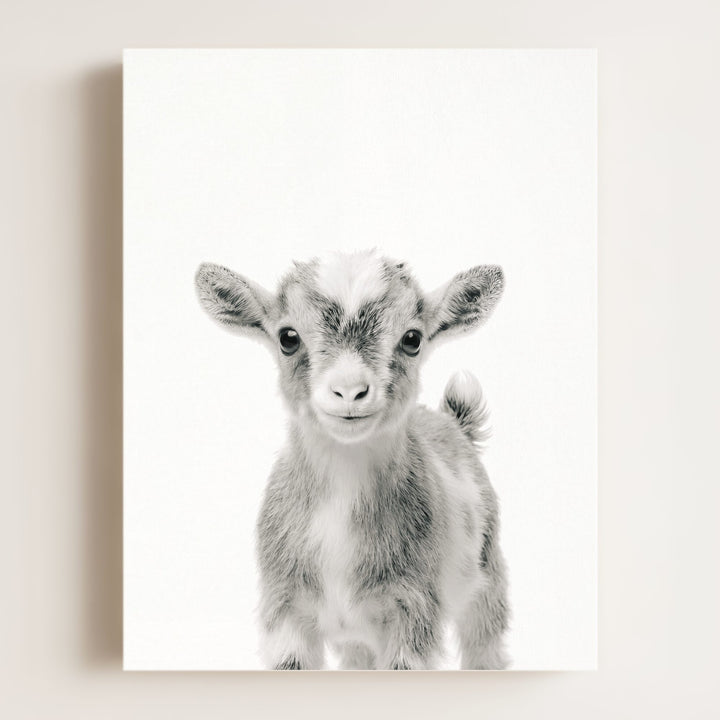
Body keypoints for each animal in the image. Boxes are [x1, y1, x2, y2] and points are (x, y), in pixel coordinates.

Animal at [195, 250, 509, 670]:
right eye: (287, 338)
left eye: (412, 339)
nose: (349, 391)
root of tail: (453, 422)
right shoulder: (285, 610)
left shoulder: (413, 609)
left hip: (488, 578)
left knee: (485, 643)